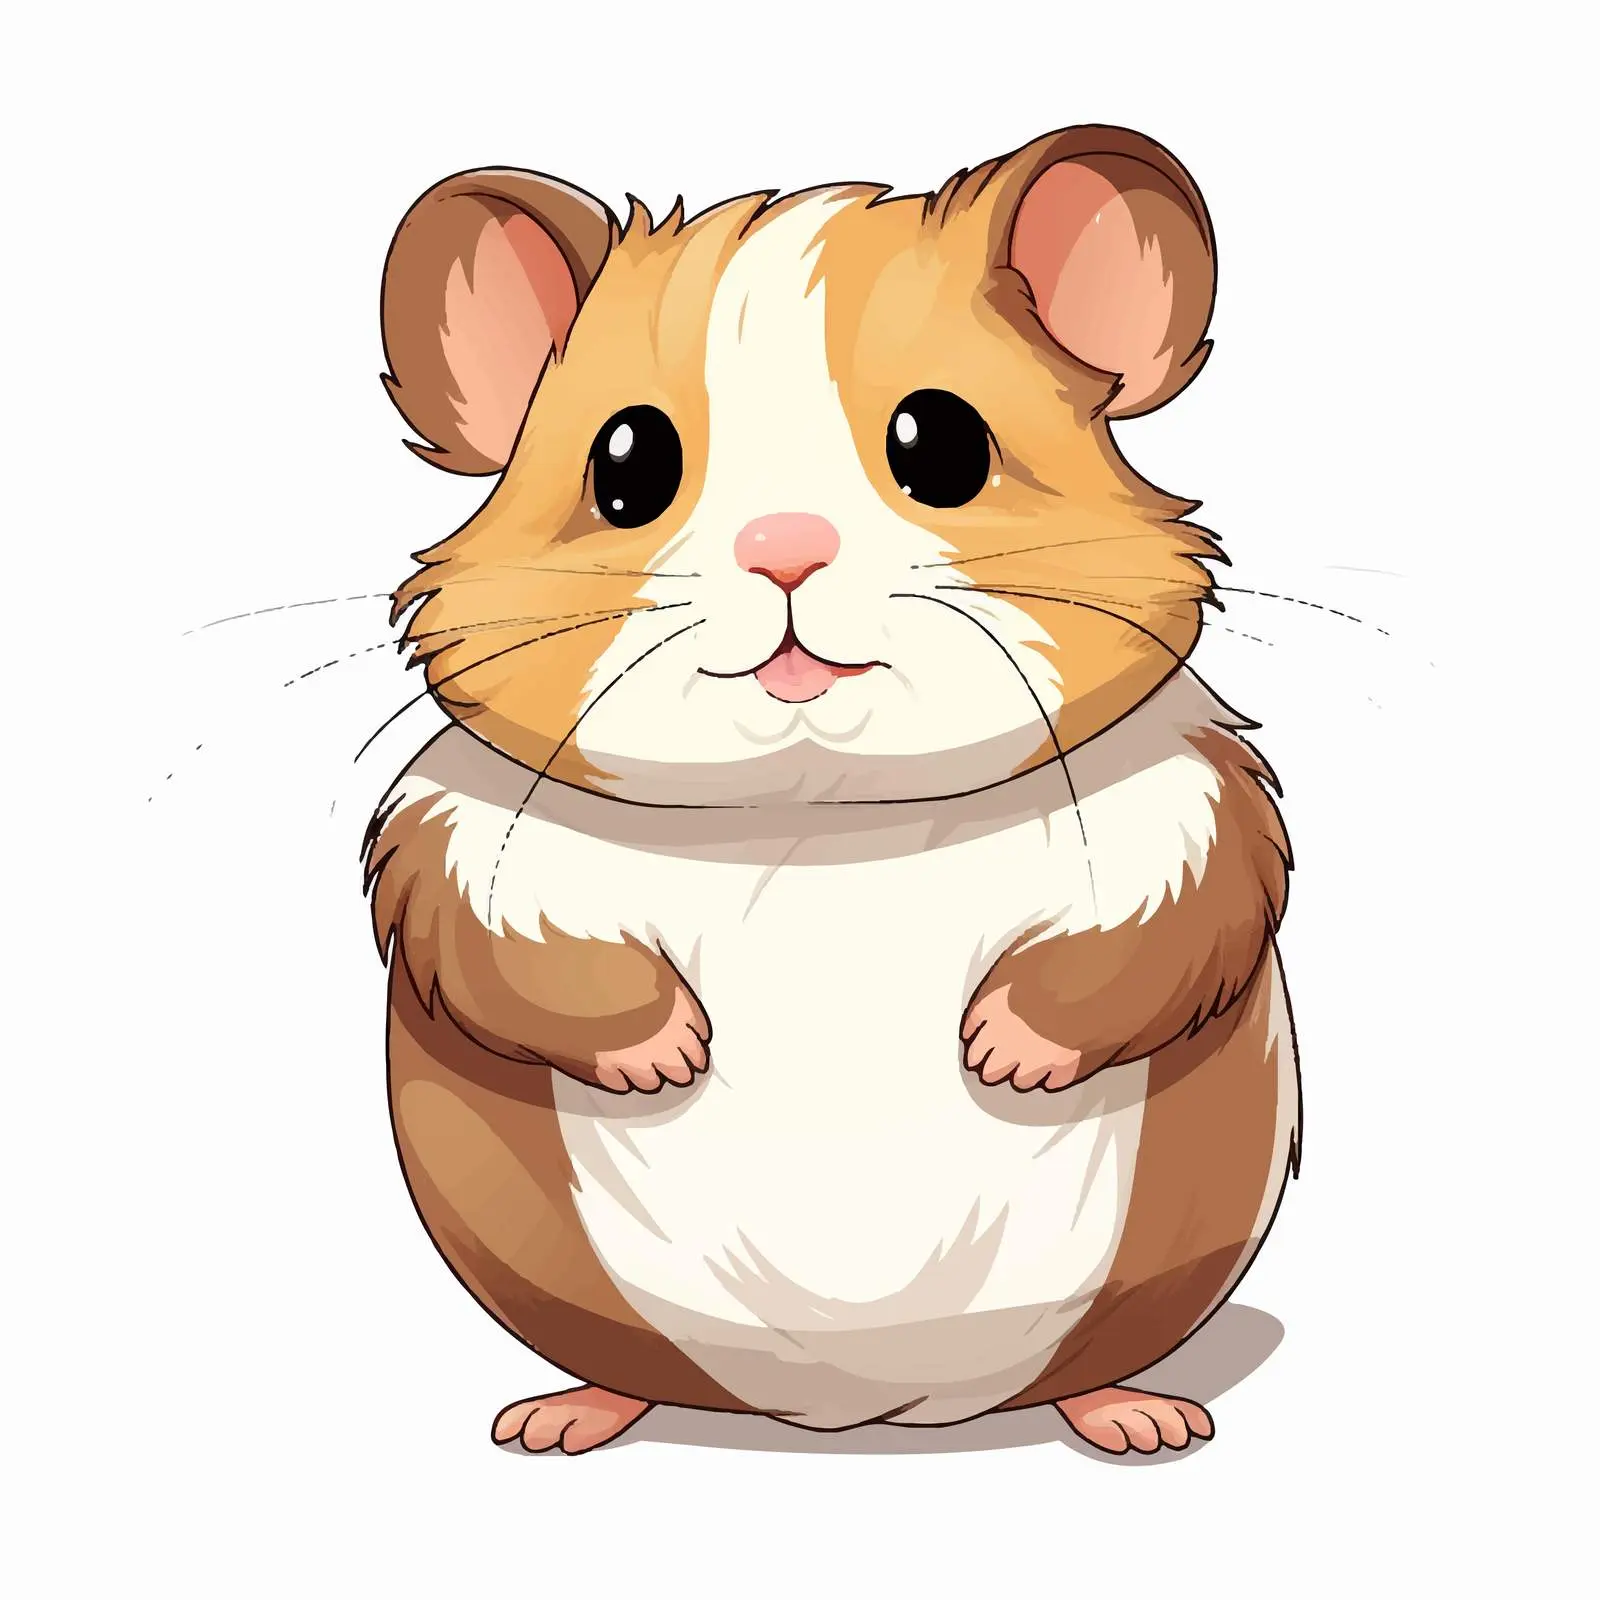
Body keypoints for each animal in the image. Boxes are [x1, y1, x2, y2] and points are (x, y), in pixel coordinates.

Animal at [363, 124, 1300, 1457]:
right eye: (626, 466)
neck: (818, 810)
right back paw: (553, 1421)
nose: (785, 549)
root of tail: (859, 1410)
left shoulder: (1179, 812)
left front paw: (998, 1057)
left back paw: (1144, 1422)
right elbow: (525, 959)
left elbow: (1145, 937)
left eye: (942, 445)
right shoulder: (469, 842)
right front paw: (673, 1059)